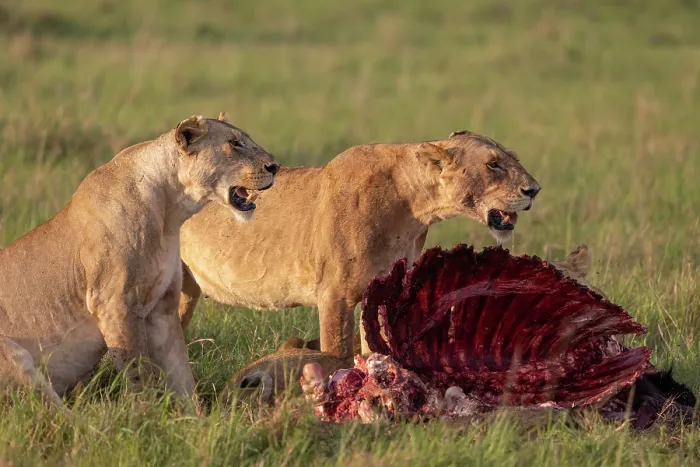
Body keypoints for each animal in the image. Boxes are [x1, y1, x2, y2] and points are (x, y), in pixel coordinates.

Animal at [0, 113, 278, 407]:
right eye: (234, 143)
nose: (275, 166)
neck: (170, 212)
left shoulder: (163, 308)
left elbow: (182, 376)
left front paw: (194, 417)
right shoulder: (114, 304)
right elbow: (139, 375)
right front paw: (146, 413)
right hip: (13, 355)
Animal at [179, 130, 540, 362]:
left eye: (512, 158)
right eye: (493, 164)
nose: (534, 190)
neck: (413, 204)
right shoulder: (334, 295)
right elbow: (335, 354)